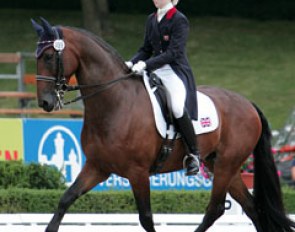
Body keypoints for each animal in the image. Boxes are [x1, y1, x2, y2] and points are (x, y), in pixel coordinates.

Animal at [31, 16, 295, 232]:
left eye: (48, 56)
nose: (45, 102)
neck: (114, 104)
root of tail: (248, 103)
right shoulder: (97, 167)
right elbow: (66, 199)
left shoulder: (137, 172)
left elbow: (146, 218)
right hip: (221, 165)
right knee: (251, 209)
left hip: (226, 165)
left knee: (215, 209)